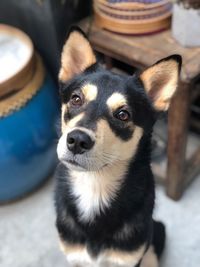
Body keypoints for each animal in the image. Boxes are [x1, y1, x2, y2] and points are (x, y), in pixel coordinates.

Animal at [54, 25, 181, 267]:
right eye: (76, 99)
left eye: (123, 114)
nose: (77, 140)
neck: (94, 186)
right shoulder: (74, 256)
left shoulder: (129, 258)